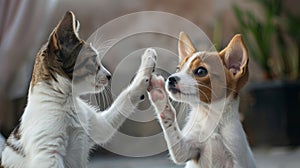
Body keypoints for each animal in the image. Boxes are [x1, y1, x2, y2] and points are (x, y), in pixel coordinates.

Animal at [1, 11, 157, 167]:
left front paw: (148, 59)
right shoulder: (48, 155)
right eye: (93, 60)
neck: (68, 101)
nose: (109, 75)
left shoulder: (99, 126)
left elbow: (126, 97)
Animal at [148, 32, 255, 167]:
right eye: (178, 69)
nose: (171, 78)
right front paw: (159, 95)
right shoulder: (186, 151)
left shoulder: (237, 158)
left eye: (200, 71)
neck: (210, 118)